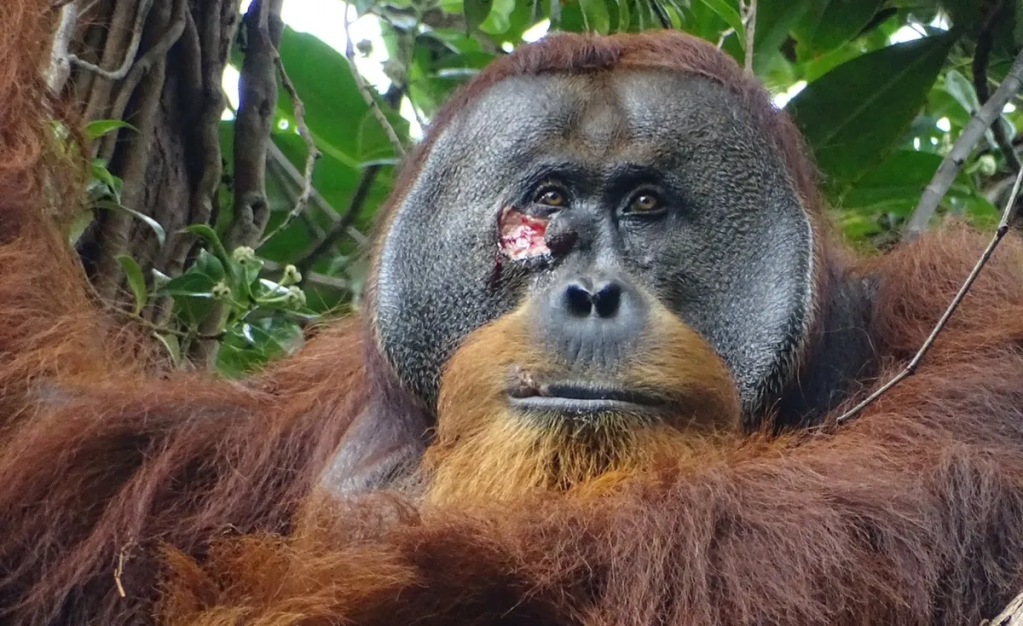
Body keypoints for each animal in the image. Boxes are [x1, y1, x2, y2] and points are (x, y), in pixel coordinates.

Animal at [2, 6, 1023, 624]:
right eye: (548, 200)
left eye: (644, 205)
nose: (590, 293)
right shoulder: (258, 433)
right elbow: (48, 428)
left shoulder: (966, 311)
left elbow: (873, 510)